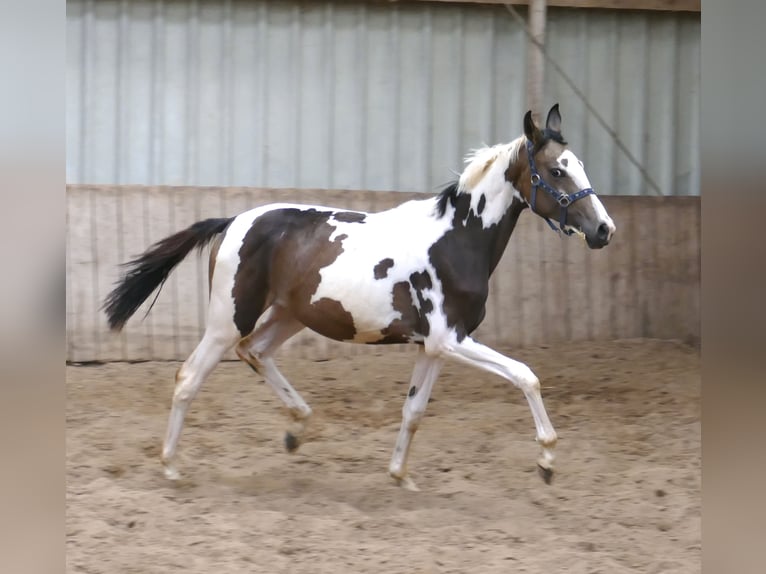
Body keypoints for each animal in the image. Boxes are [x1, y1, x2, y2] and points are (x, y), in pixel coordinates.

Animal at [103, 104, 616, 490]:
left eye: (581, 165)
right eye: (556, 170)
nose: (604, 230)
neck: (457, 239)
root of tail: (232, 222)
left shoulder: (435, 347)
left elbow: (413, 411)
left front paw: (400, 476)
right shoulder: (452, 339)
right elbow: (526, 376)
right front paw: (546, 461)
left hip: (290, 315)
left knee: (256, 352)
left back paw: (296, 428)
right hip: (227, 320)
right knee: (189, 377)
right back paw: (172, 467)